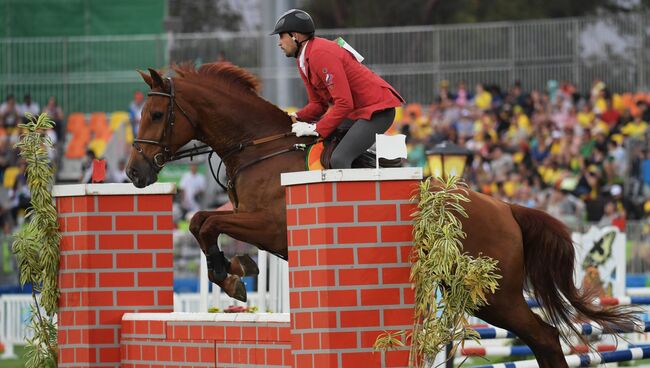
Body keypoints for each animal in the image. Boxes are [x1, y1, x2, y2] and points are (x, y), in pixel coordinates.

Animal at [125, 61, 632, 366]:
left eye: (156, 115)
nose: (133, 172)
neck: (261, 148)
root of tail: (505, 207)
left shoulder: (269, 225)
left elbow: (206, 222)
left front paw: (231, 274)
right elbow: (200, 222)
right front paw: (236, 270)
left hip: (493, 294)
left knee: (543, 334)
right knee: (541, 336)